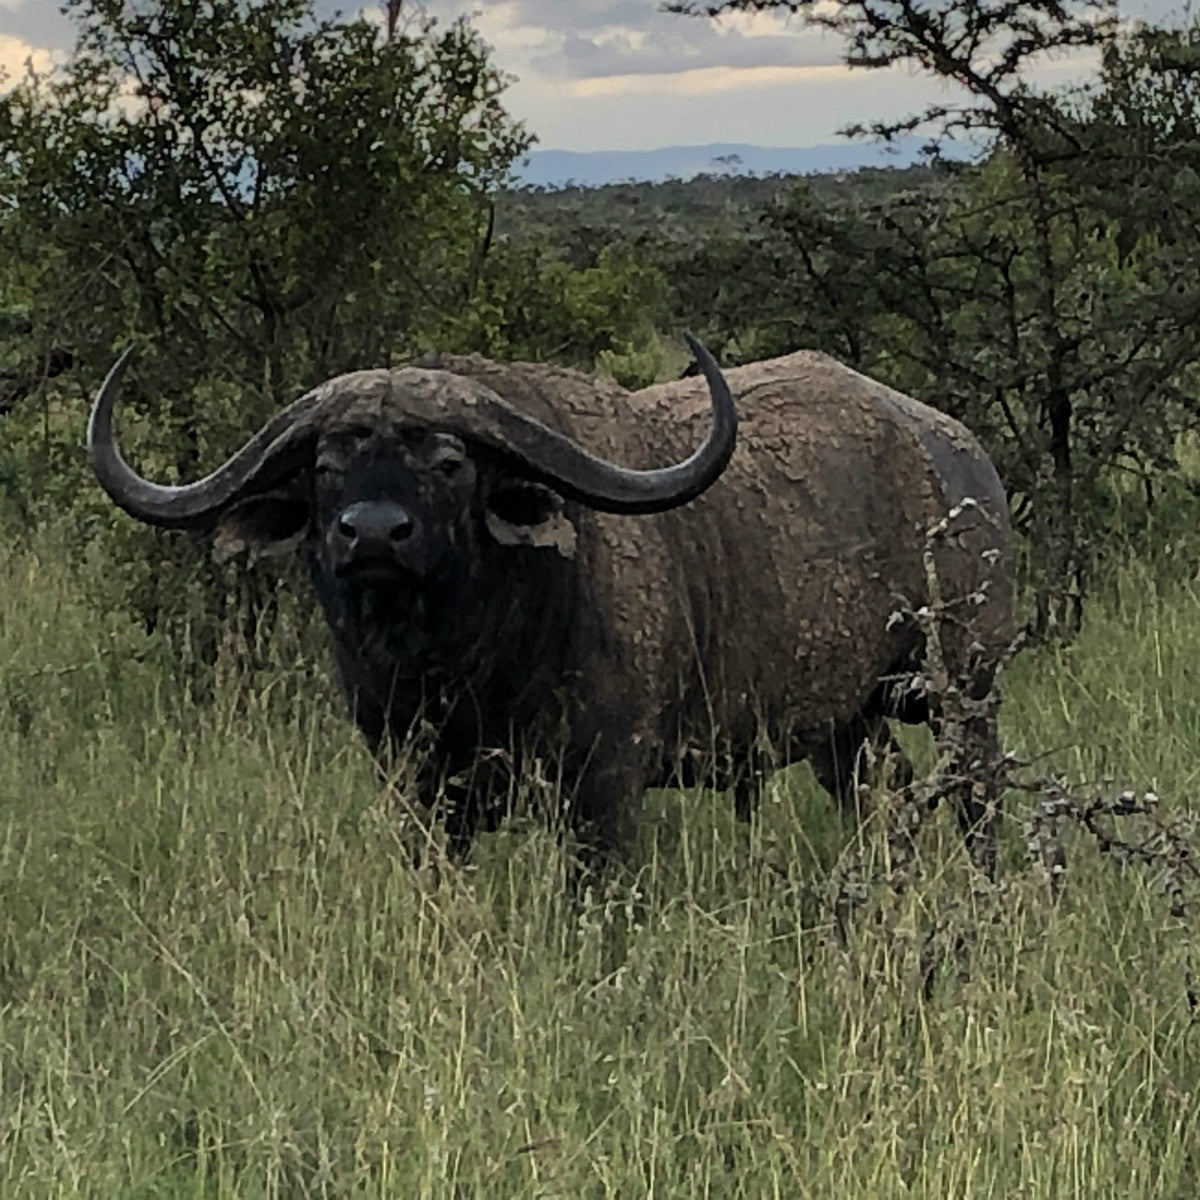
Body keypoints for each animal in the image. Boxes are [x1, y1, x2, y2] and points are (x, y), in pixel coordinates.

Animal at [84, 343, 1008, 868]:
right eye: (323, 467)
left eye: (450, 462)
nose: (373, 535)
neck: (461, 671)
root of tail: (956, 453)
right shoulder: (420, 796)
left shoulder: (603, 793)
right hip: (846, 726)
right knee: (884, 798)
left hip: (963, 690)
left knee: (979, 801)